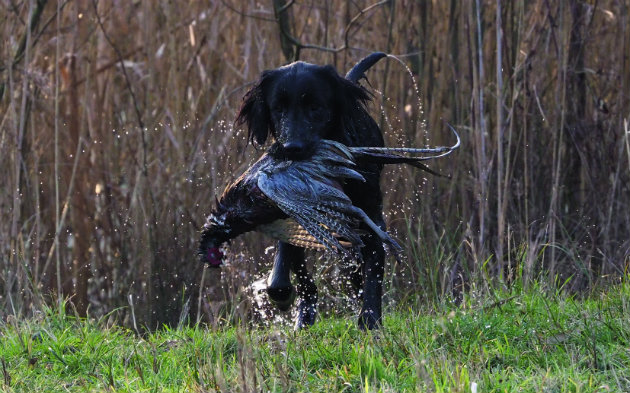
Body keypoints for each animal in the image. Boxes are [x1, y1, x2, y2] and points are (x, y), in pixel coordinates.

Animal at [236, 51, 388, 328]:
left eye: (315, 107)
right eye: (278, 108)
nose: (290, 148)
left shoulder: (371, 217)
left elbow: (373, 268)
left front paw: (370, 319)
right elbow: (286, 272)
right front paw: (288, 297)